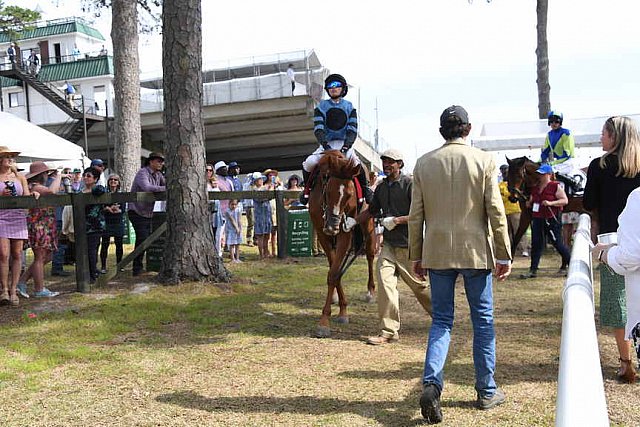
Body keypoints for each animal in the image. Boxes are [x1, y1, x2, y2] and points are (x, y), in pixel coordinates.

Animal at [308, 150, 376, 338]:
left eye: (349, 195)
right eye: (328, 192)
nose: (333, 225)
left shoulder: (345, 233)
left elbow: (334, 273)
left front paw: (327, 320)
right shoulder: (322, 233)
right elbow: (334, 270)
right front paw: (338, 306)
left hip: (367, 223)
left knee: (370, 255)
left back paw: (370, 292)